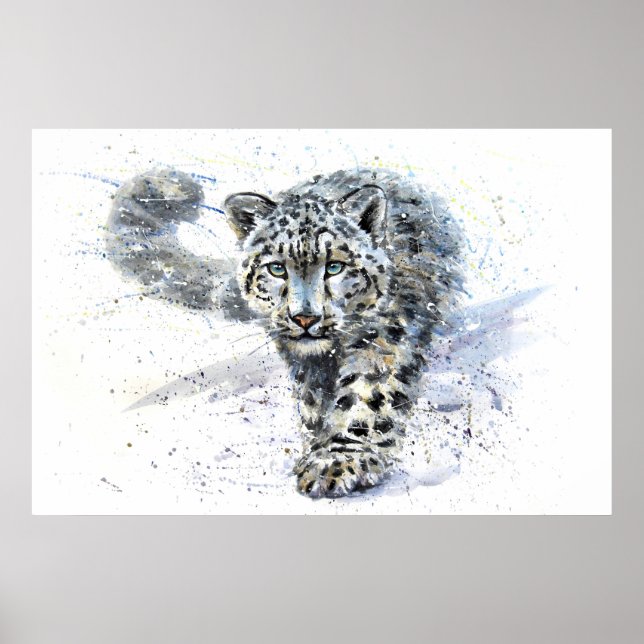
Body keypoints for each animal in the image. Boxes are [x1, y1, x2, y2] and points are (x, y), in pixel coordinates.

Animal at [106, 166, 464, 498]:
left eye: (335, 266)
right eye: (276, 268)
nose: (304, 317)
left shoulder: (382, 339)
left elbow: (367, 396)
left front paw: (336, 460)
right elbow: (314, 401)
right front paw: (320, 442)